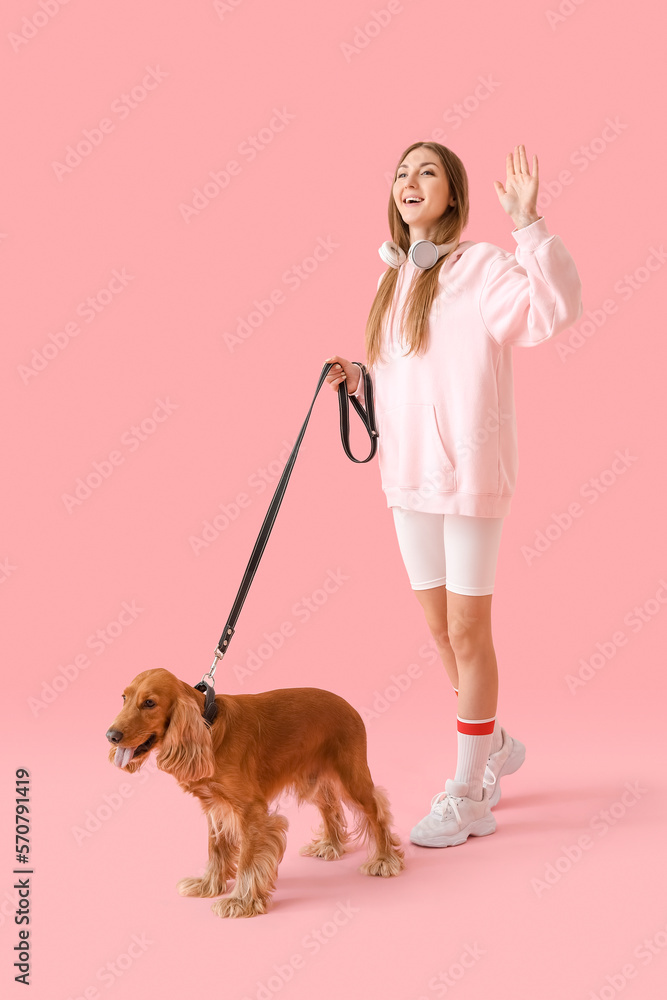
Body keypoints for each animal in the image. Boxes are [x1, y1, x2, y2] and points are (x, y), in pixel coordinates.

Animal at [107, 668, 404, 916]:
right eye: (124, 697)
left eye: (149, 703)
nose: (111, 735)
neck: (209, 727)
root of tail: (348, 705)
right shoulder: (216, 807)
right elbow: (215, 849)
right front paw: (208, 885)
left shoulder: (252, 812)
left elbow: (248, 860)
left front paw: (240, 901)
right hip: (312, 779)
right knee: (330, 807)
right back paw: (331, 845)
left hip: (351, 777)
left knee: (377, 810)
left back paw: (385, 859)